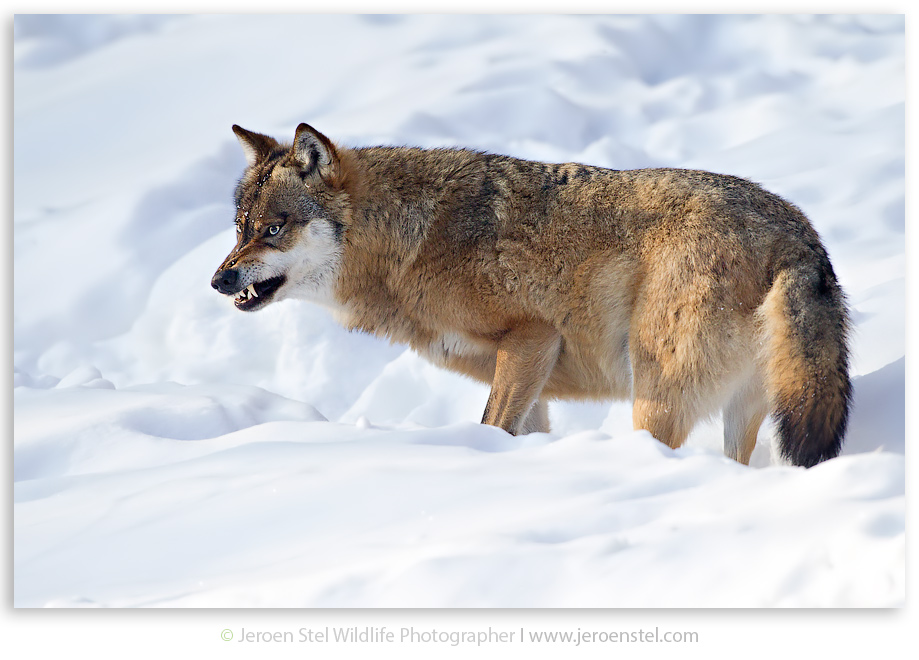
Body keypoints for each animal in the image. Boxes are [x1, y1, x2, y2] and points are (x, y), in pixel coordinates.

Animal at [212, 123, 851, 468]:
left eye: (274, 230)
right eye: (240, 228)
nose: (219, 281)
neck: (410, 240)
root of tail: (797, 237)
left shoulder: (531, 338)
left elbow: (490, 427)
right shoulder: (532, 374)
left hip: (655, 397)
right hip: (744, 407)